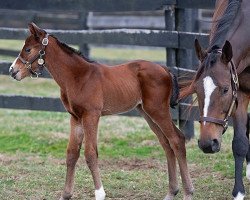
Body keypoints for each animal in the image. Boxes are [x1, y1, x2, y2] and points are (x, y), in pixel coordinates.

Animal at [8, 23, 193, 200]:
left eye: (28, 49)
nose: (12, 70)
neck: (78, 77)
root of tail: (165, 69)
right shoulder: (75, 117)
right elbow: (72, 153)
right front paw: (66, 194)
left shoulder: (91, 115)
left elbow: (90, 153)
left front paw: (99, 193)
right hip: (147, 113)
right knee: (166, 143)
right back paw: (171, 192)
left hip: (158, 110)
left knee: (176, 139)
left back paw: (188, 192)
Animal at [181, 0, 249, 199]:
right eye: (196, 90)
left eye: (225, 89)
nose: (207, 143)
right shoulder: (240, 93)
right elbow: (240, 143)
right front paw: (239, 192)